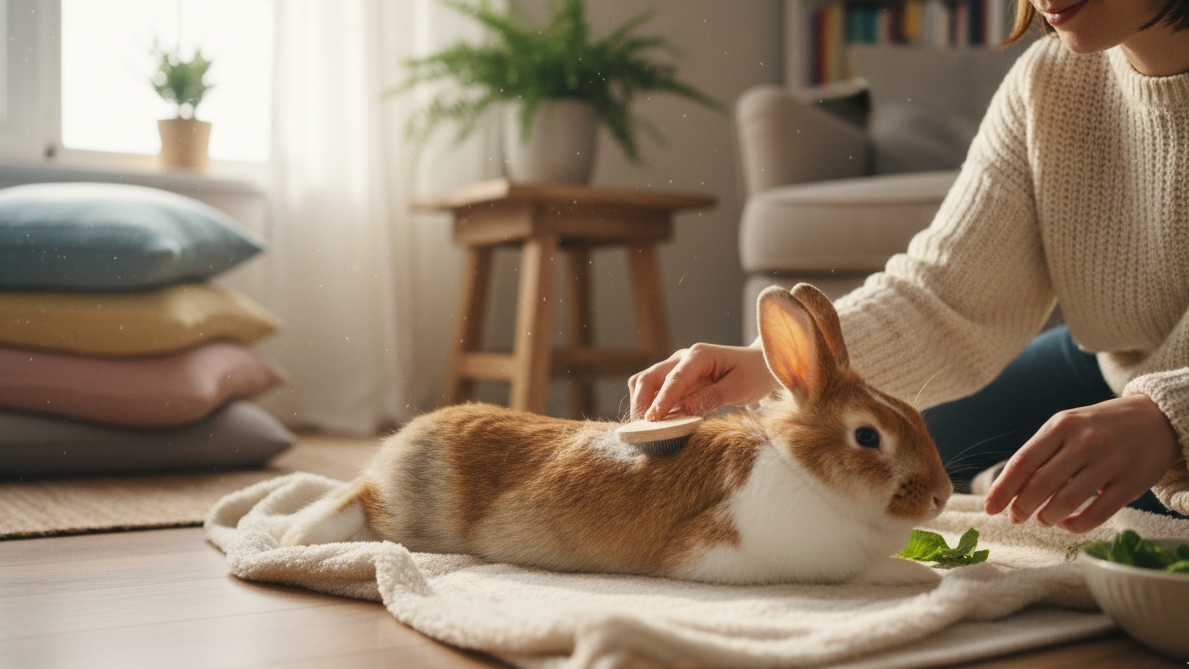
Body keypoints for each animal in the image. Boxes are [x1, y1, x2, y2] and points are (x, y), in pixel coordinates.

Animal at [280, 283, 953, 585]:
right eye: (868, 438)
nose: (943, 495)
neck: (800, 471)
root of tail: (407, 438)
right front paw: (919, 578)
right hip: (415, 514)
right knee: (359, 498)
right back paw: (299, 536)